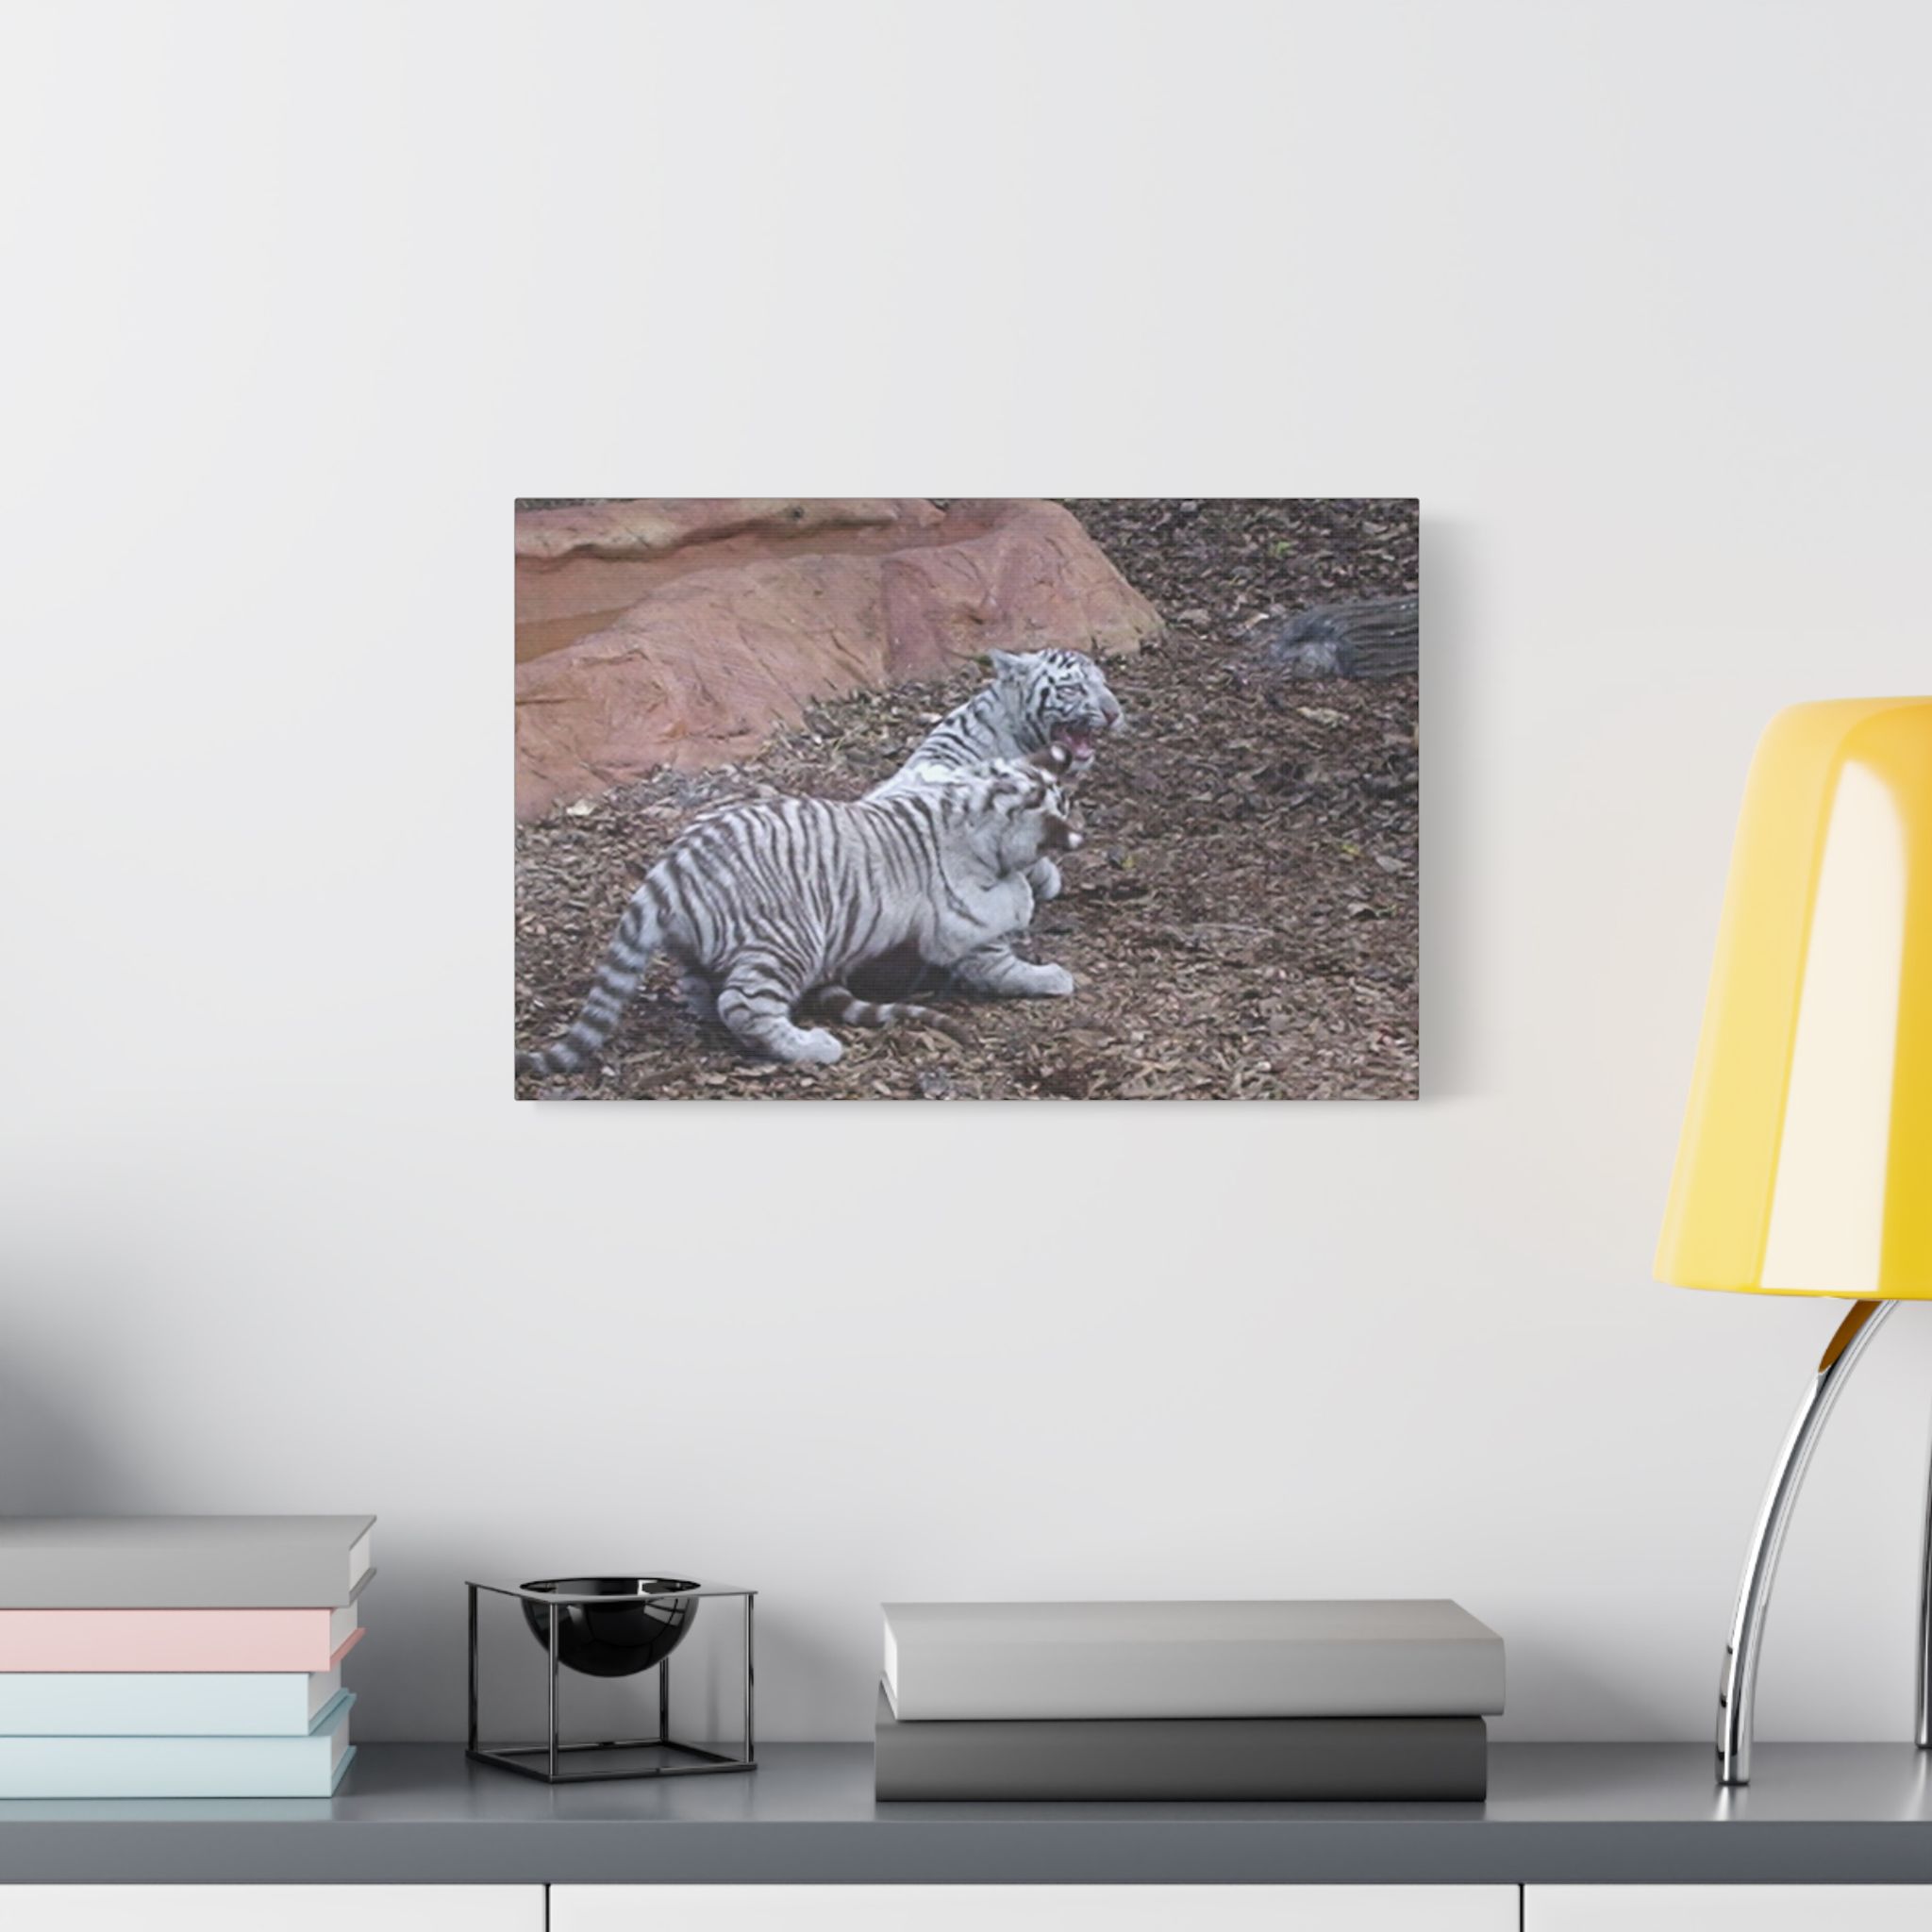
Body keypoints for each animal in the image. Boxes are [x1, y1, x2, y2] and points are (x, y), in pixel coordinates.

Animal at [516, 754, 1082, 1076]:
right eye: (1061, 808)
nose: (1078, 834)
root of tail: (673, 866)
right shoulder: (965, 925)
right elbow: (1003, 956)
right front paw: (1051, 973)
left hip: (707, 948)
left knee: (703, 992)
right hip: (789, 941)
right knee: (744, 1005)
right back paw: (812, 1046)